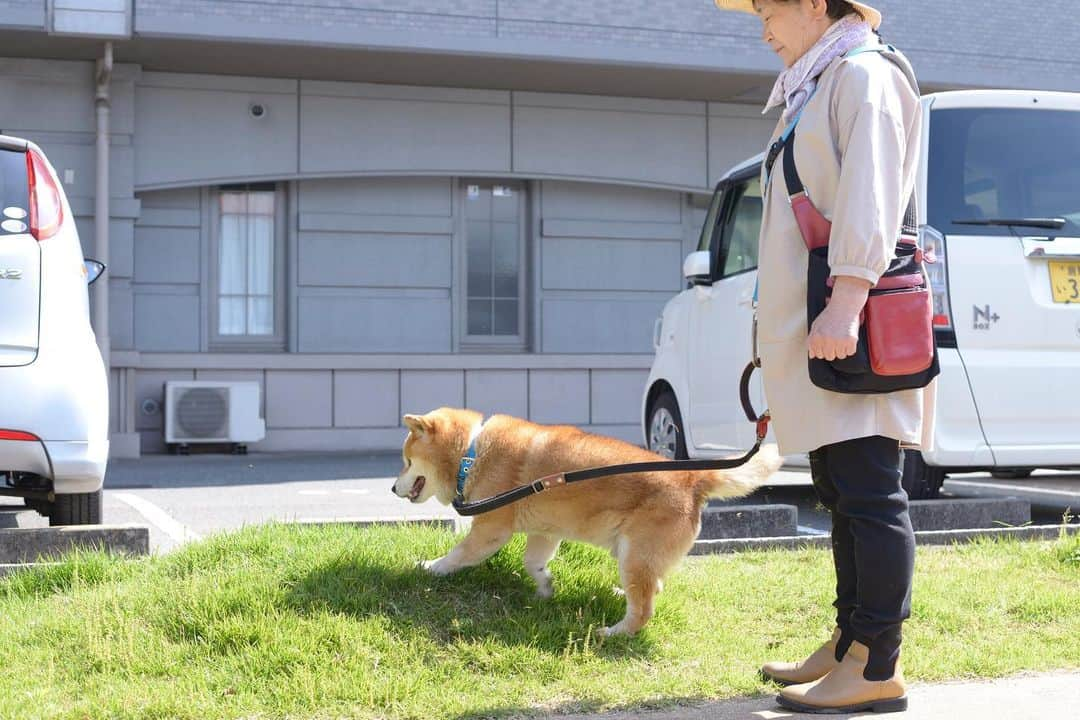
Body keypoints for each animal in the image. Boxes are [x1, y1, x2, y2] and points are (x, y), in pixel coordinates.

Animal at [393, 405, 781, 634]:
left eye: (407, 461)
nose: (394, 487)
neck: (470, 454)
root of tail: (692, 478)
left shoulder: (490, 530)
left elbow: (457, 556)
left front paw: (431, 567)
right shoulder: (544, 533)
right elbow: (533, 563)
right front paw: (544, 587)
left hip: (635, 554)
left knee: (644, 609)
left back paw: (616, 632)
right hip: (632, 555)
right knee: (652, 588)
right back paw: (618, 593)